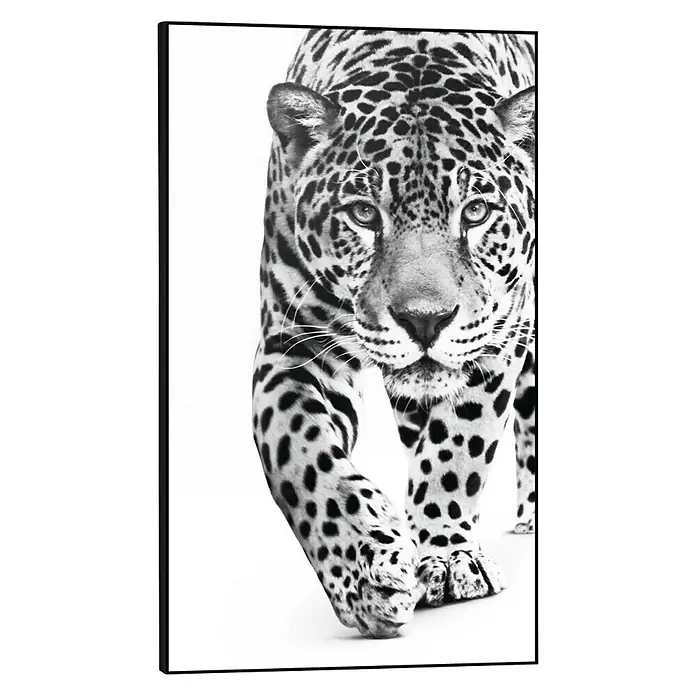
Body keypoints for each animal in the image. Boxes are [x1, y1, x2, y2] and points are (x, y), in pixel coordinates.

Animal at [251, 28, 536, 639]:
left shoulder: (497, 334)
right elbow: (300, 456)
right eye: (363, 214)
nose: (425, 319)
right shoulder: (291, 346)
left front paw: (448, 555)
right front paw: (365, 576)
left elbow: (459, 443)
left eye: (475, 212)